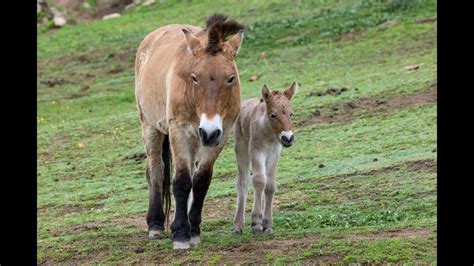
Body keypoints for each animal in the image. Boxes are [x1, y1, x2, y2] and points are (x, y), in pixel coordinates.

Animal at [134, 13, 243, 249]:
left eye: (231, 78)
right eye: (194, 77)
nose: (209, 132)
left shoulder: (221, 135)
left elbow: (200, 182)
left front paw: (193, 231)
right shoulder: (179, 131)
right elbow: (182, 182)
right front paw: (181, 235)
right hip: (150, 127)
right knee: (155, 170)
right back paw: (155, 225)